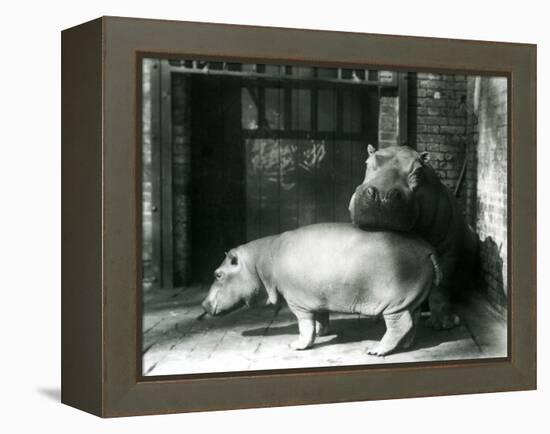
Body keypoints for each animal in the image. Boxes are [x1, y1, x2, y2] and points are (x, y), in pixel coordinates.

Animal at [201, 224, 442, 356]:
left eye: (218, 274)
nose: (203, 304)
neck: (259, 264)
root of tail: (427, 249)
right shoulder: (316, 298)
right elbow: (321, 317)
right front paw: (322, 332)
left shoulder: (298, 303)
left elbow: (305, 325)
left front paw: (297, 345)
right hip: (412, 299)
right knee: (414, 321)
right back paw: (405, 345)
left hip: (395, 304)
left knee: (400, 325)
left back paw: (376, 350)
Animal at [352, 144, 480, 328]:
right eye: (367, 162)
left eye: (418, 171)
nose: (381, 195)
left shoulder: (447, 250)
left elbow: (441, 286)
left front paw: (443, 324)